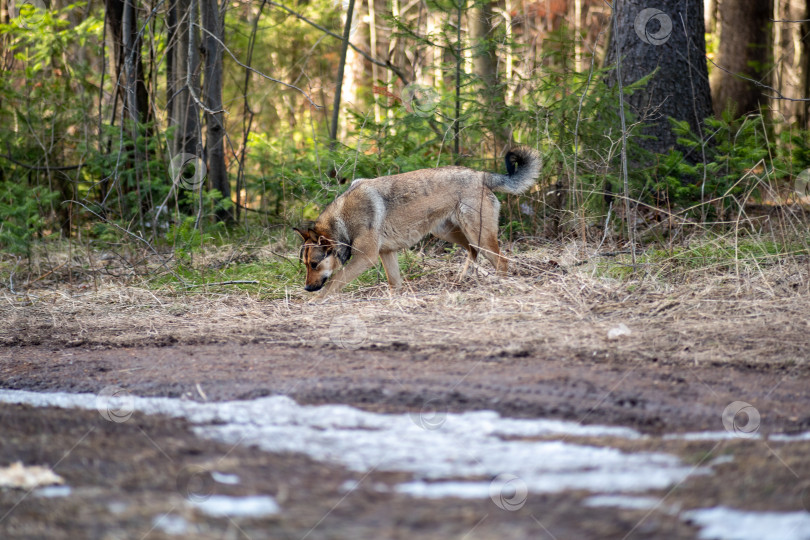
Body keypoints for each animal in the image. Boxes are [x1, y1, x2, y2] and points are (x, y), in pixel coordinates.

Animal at [294, 147, 540, 296]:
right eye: (305, 265)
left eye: (314, 264)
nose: (306, 288)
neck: (343, 221)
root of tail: (481, 175)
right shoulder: (386, 254)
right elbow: (394, 284)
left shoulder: (366, 258)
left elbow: (333, 283)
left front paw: (314, 302)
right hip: (452, 234)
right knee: (473, 252)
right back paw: (461, 280)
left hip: (478, 236)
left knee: (502, 262)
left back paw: (498, 286)